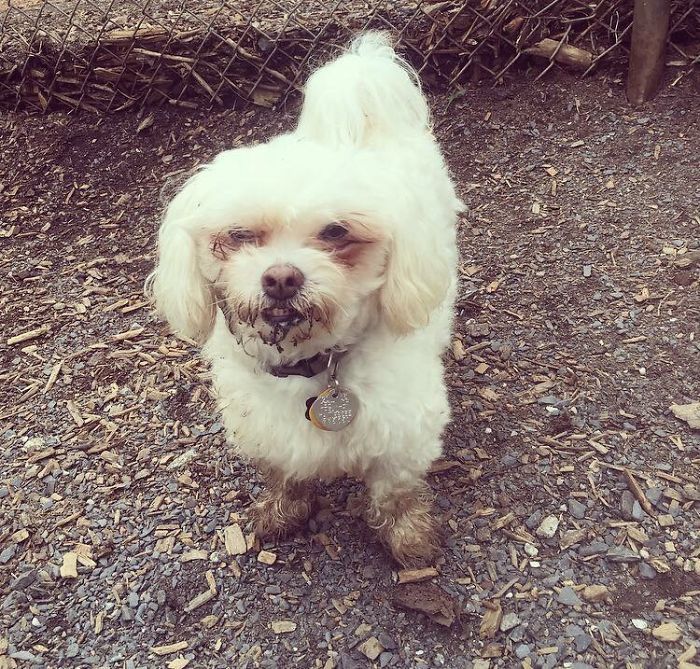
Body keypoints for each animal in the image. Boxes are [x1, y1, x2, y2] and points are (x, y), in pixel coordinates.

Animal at [149, 31, 460, 564]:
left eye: (336, 232)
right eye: (239, 234)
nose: (280, 278)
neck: (313, 365)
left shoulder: (404, 432)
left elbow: (395, 493)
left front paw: (410, 539)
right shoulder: (271, 432)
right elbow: (285, 476)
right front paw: (283, 513)